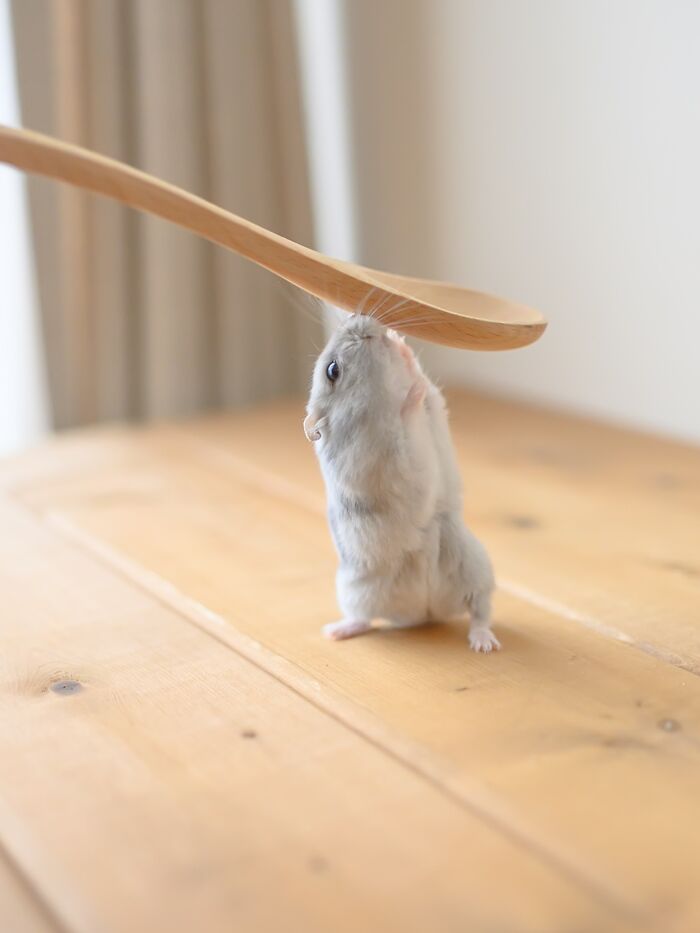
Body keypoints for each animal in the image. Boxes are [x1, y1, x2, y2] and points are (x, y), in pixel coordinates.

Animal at [304, 313, 499, 652]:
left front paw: (401, 345)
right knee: (363, 618)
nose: (357, 317)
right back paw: (335, 631)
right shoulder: (387, 458)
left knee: (479, 611)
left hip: (476, 568)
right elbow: (406, 423)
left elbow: (430, 395)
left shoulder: (435, 411)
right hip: (354, 591)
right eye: (332, 370)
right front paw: (409, 393)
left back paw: (483, 643)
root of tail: (424, 613)